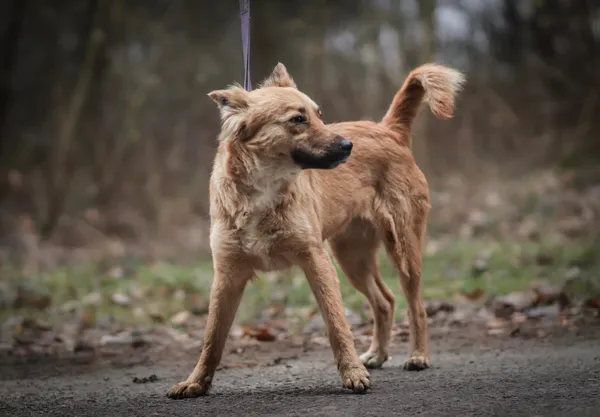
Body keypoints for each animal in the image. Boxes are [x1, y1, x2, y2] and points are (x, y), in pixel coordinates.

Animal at [166, 61, 466, 396]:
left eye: (319, 114)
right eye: (298, 119)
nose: (348, 146)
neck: (262, 192)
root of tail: (388, 130)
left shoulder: (316, 261)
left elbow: (337, 326)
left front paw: (352, 374)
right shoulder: (227, 275)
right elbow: (211, 339)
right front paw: (195, 382)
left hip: (402, 249)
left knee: (417, 306)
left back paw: (418, 355)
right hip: (351, 257)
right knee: (385, 301)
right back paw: (377, 354)